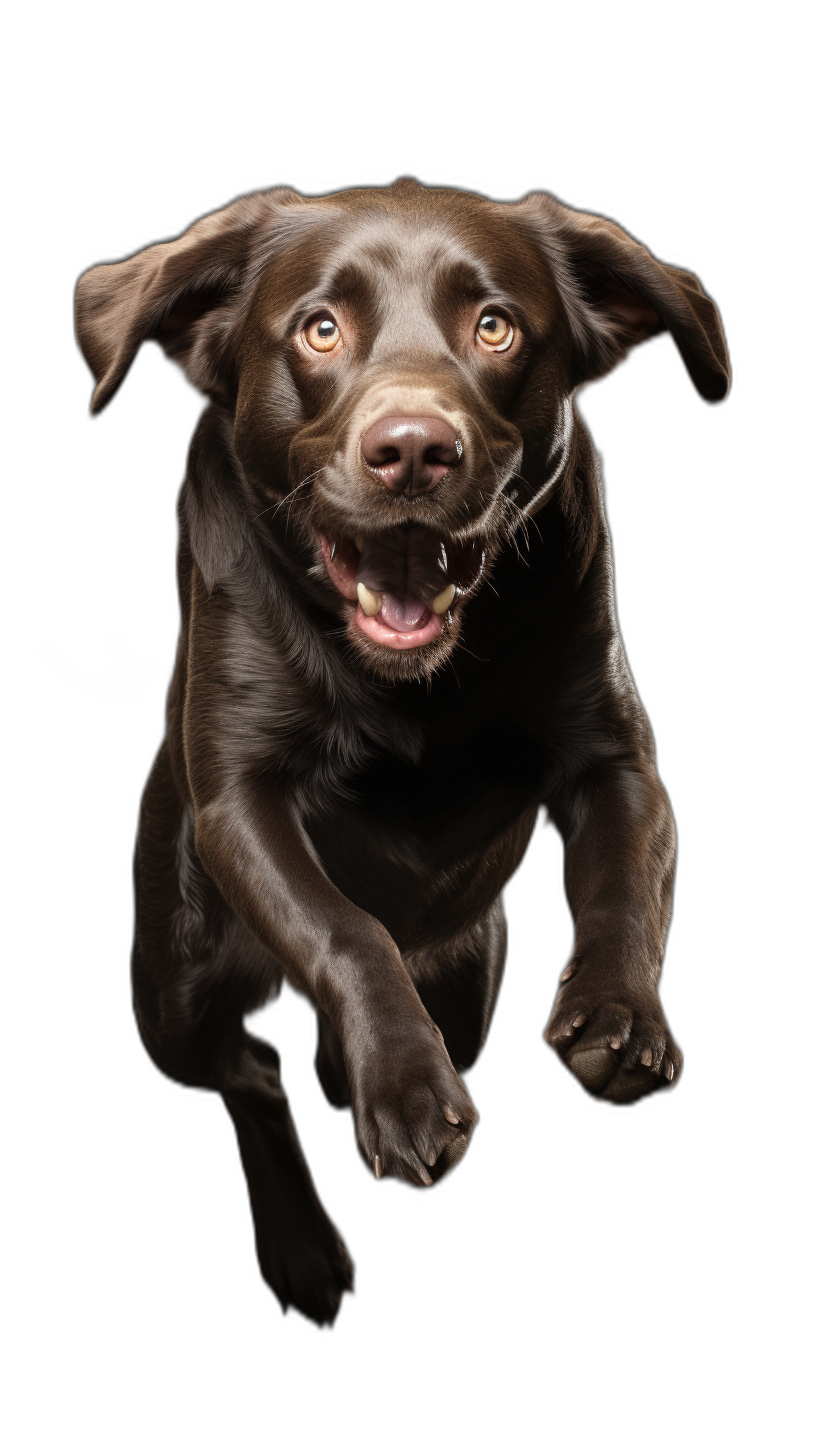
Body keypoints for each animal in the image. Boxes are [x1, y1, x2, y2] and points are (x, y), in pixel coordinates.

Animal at [75, 179, 725, 1333]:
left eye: (495, 326)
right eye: (320, 329)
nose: (414, 449)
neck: (415, 687)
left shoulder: (617, 761)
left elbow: (625, 887)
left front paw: (619, 1015)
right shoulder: (239, 800)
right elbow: (346, 927)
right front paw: (405, 1084)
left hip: (469, 973)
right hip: (175, 991)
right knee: (249, 1069)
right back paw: (302, 1245)